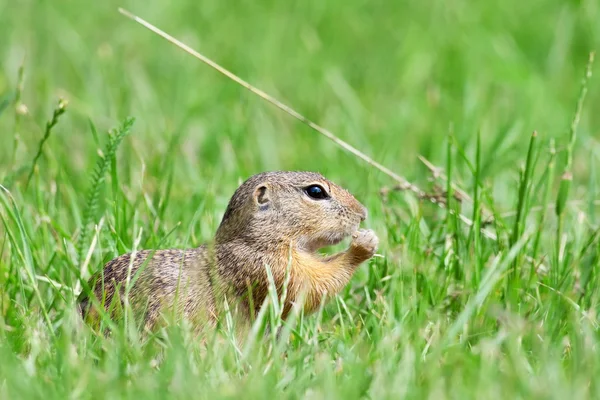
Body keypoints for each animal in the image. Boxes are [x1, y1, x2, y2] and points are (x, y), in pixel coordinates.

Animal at [78, 170, 380, 332]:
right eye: (316, 192)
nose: (363, 213)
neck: (256, 239)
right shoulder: (267, 268)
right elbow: (309, 288)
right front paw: (363, 244)